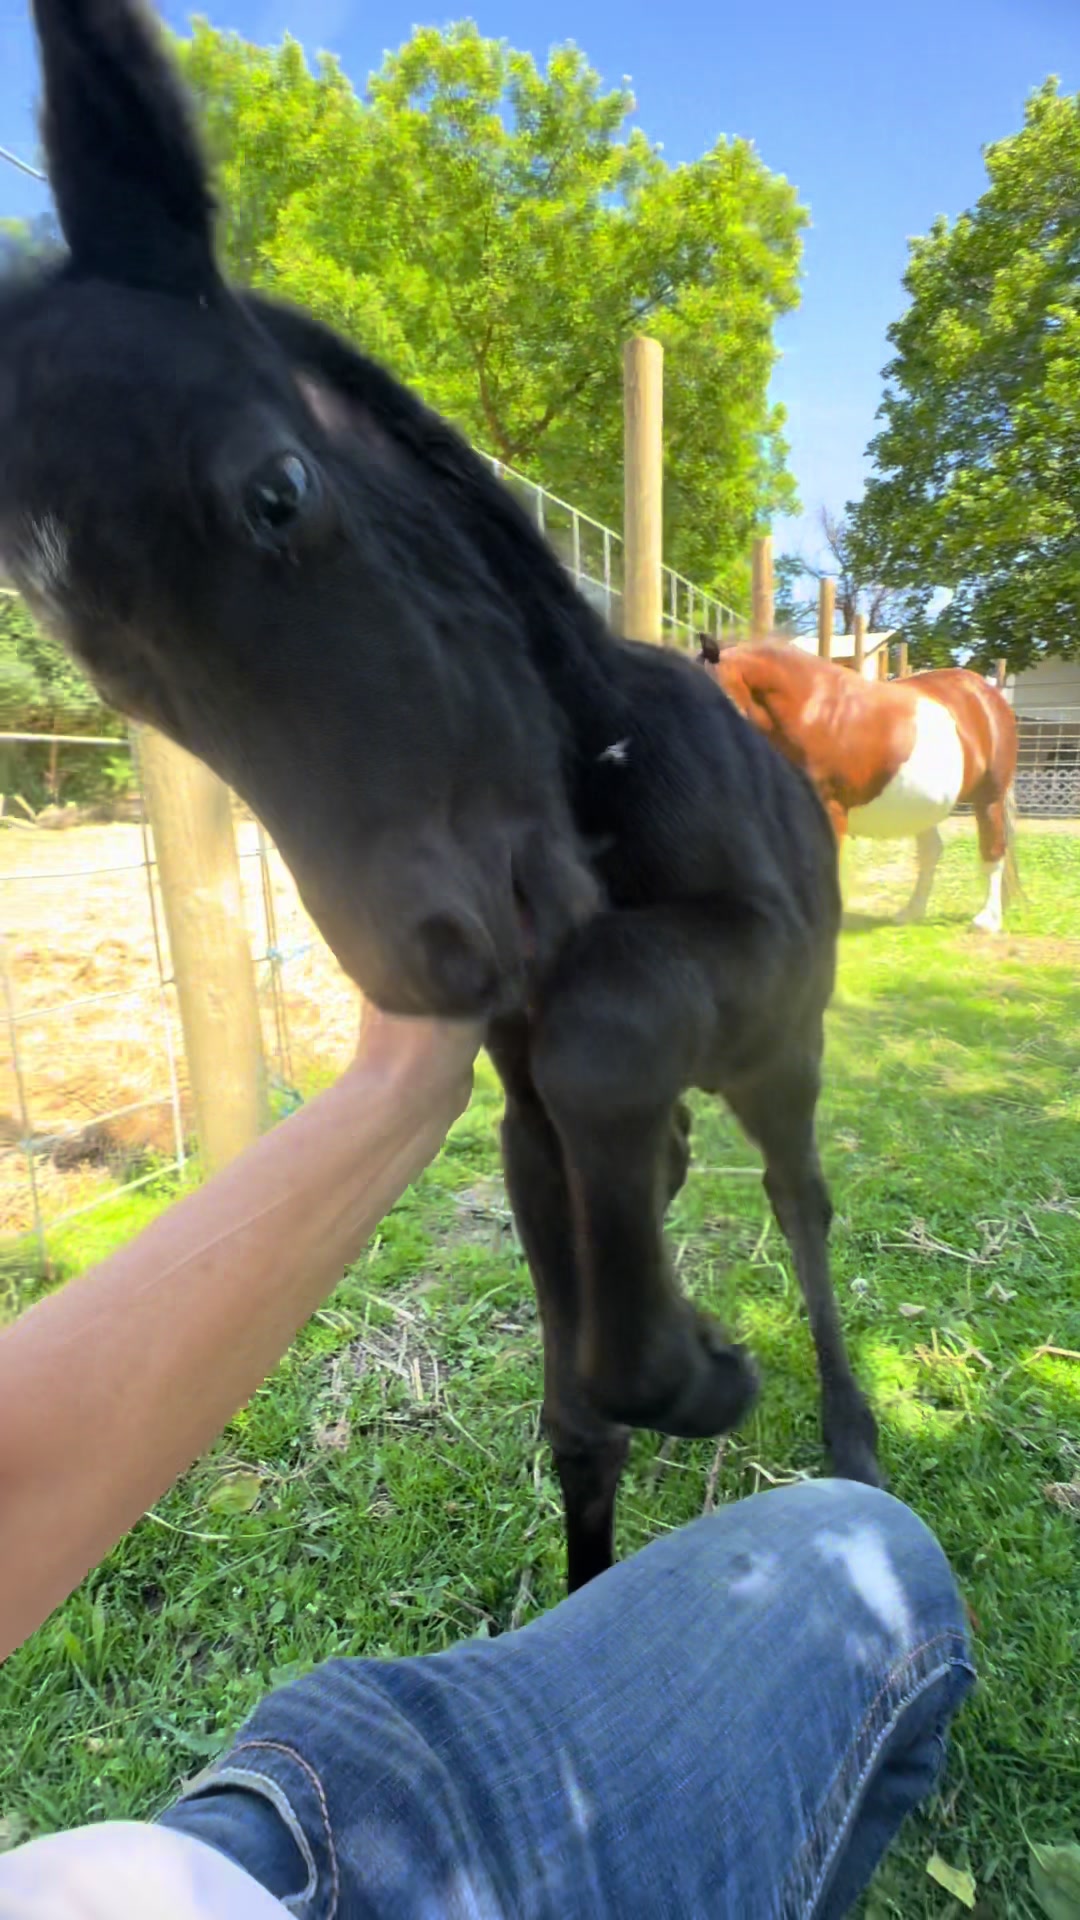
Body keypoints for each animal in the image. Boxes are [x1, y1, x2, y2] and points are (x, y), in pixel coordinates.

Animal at [0, 0, 880, 1594]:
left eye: (279, 490)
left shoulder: (746, 968)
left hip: (787, 1046)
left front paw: (707, 1375)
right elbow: (581, 1405)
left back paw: (850, 1428)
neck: (601, 798)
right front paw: (665, 1402)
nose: (436, 957)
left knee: (799, 1202)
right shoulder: (527, 1115)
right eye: (105, 669)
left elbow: (614, 1035)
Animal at [697, 637, 1020, 932]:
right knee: (932, 852)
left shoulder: (830, 811)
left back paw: (987, 920)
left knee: (993, 849)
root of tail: (986, 694)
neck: (811, 712)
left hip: (989, 799)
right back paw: (911, 912)